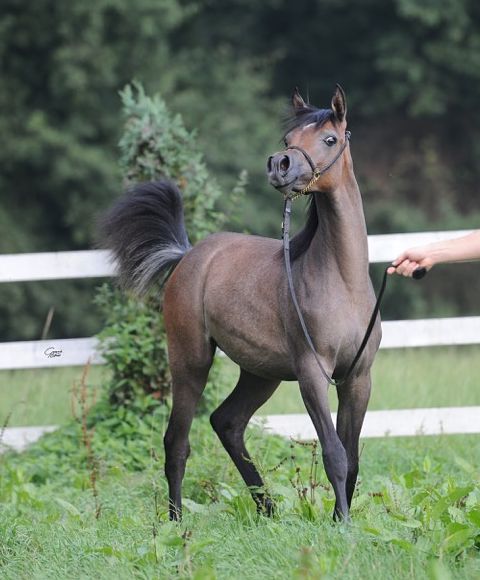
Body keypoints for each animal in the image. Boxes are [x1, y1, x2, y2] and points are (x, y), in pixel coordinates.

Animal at [101, 85, 382, 522]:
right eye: (289, 138)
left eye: (329, 139)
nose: (280, 164)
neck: (342, 281)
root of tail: (189, 255)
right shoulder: (312, 373)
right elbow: (335, 454)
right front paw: (342, 526)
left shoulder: (358, 378)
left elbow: (351, 459)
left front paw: (342, 519)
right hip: (190, 361)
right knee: (177, 442)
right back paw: (176, 522)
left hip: (259, 373)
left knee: (227, 422)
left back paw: (267, 509)